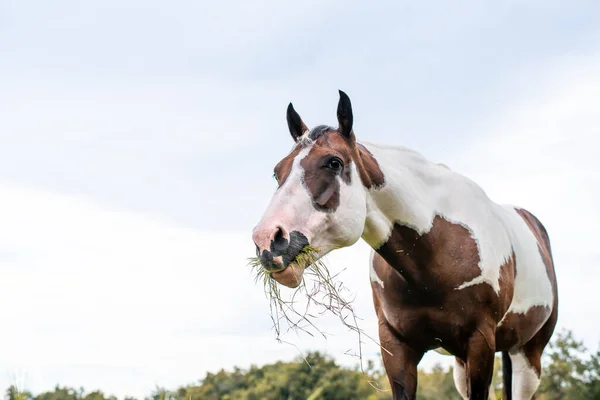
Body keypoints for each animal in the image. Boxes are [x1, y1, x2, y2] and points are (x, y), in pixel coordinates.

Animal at [250, 90, 556, 400]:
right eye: (277, 172)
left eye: (334, 162)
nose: (268, 241)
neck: (434, 254)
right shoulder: (396, 346)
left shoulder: (480, 342)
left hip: (527, 356)